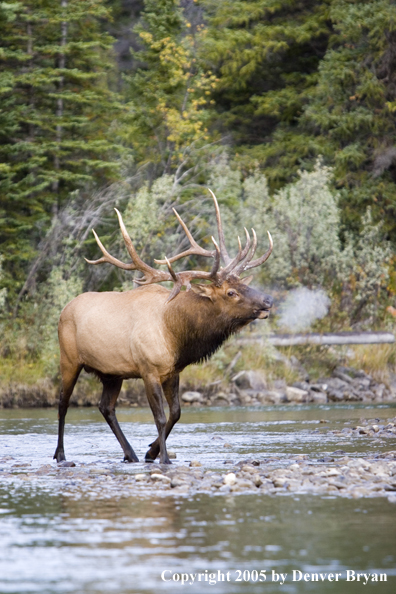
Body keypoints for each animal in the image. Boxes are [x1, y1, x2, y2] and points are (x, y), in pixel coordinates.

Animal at [54, 190, 272, 462]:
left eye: (244, 284)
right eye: (231, 292)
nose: (268, 300)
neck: (176, 333)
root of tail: (64, 310)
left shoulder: (172, 371)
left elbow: (176, 413)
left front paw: (151, 451)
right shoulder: (148, 369)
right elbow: (159, 416)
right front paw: (164, 458)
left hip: (111, 373)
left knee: (106, 407)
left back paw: (131, 454)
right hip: (69, 359)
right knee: (62, 403)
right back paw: (60, 454)